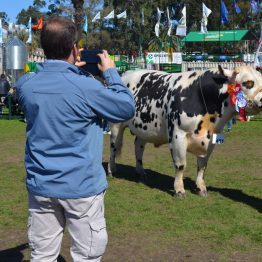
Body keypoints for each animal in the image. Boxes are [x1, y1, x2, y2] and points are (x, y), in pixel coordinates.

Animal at [107, 65, 262, 196]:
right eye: (248, 83)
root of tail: (126, 73)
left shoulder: (211, 139)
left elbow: (202, 166)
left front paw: (201, 187)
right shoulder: (178, 135)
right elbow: (181, 165)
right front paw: (179, 189)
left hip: (144, 129)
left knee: (138, 147)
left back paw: (140, 171)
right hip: (115, 125)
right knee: (113, 148)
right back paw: (111, 170)